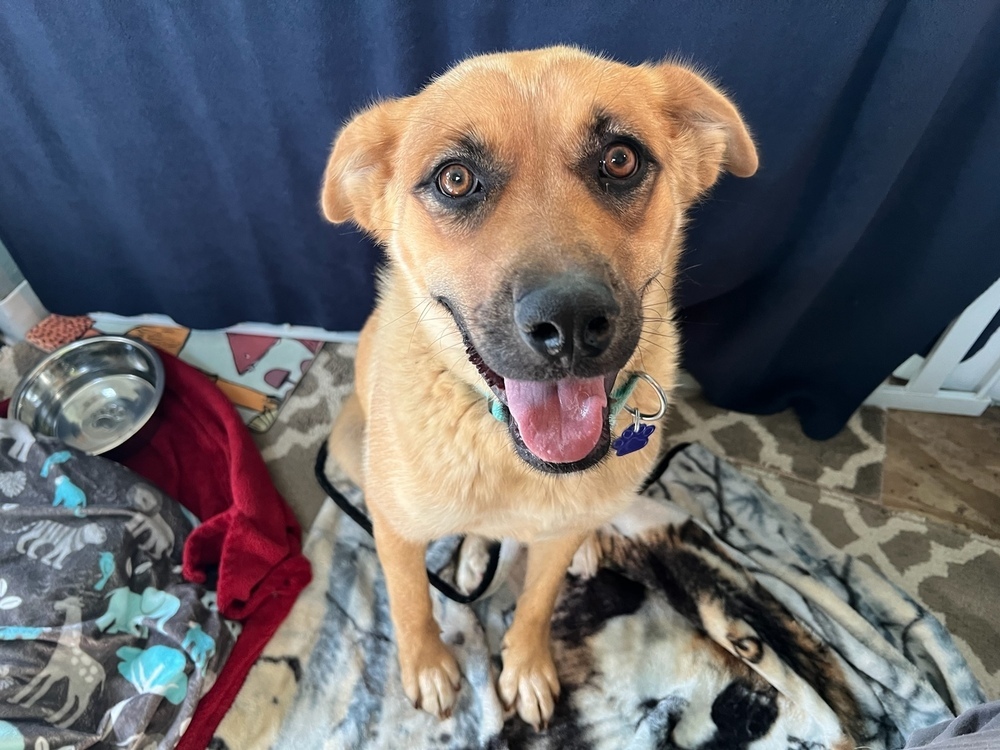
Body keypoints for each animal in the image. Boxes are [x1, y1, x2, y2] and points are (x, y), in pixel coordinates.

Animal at [324, 45, 752, 728]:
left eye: (621, 158)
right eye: (455, 179)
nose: (571, 323)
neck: (511, 456)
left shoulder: (555, 536)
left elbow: (537, 601)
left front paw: (525, 665)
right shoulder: (394, 526)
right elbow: (411, 599)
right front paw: (428, 664)